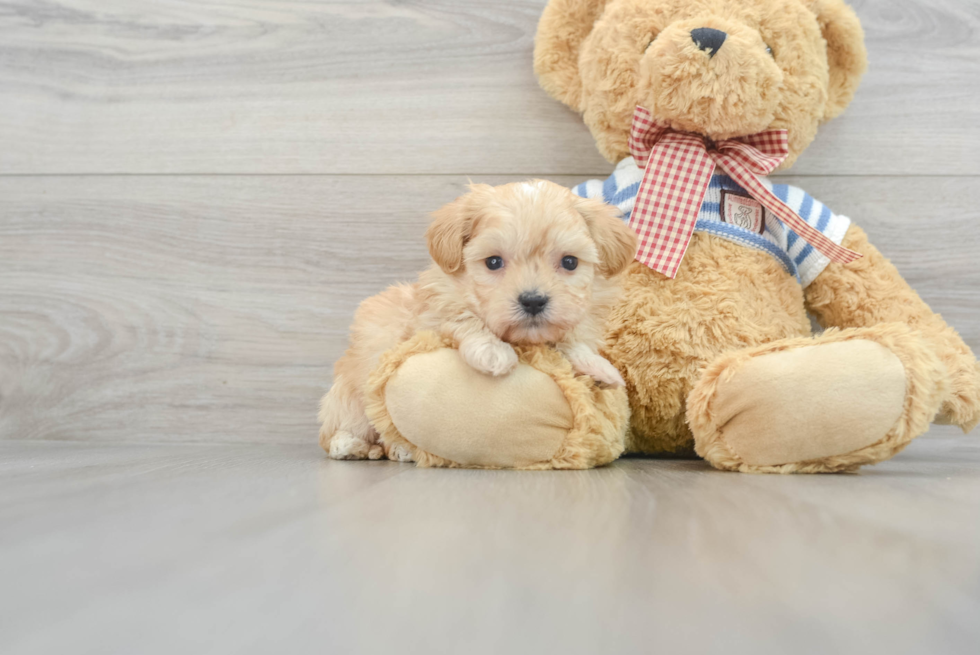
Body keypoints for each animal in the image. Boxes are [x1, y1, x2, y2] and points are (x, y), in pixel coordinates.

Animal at [318, 179, 640, 462]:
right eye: (493, 262)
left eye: (570, 262)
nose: (533, 301)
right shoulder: (429, 317)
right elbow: (463, 317)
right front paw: (493, 352)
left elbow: (570, 338)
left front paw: (598, 366)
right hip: (350, 397)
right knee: (345, 428)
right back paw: (360, 445)